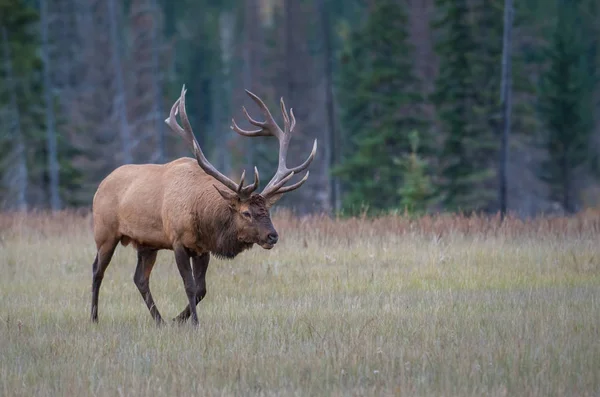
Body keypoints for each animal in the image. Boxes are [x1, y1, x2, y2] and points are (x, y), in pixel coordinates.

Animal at [91, 85, 316, 324]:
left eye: (268, 211)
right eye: (246, 213)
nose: (272, 236)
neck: (201, 214)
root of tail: (100, 185)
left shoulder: (202, 249)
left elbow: (201, 290)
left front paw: (177, 320)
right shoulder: (178, 241)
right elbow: (189, 286)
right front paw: (194, 324)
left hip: (146, 243)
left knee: (140, 279)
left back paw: (160, 321)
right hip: (105, 232)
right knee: (97, 270)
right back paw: (94, 317)